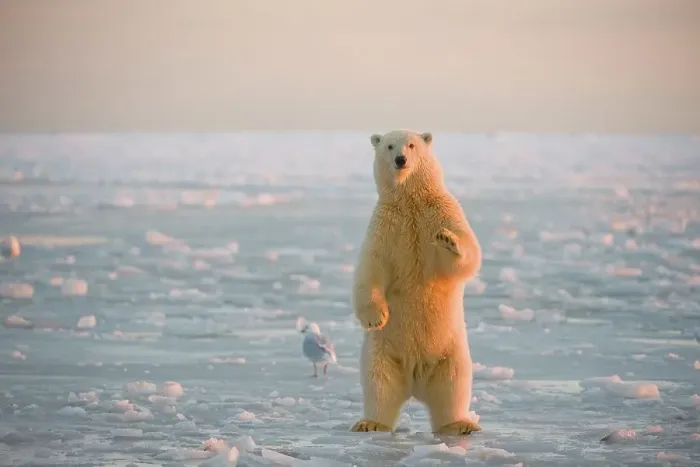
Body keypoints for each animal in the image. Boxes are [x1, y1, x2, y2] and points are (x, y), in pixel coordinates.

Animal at [349, 129, 482, 435]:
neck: (410, 202)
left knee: (453, 385)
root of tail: (415, 382)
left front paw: (448, 240)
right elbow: (371, 267)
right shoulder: (385, 225)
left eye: (411, 145)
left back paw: (460, 424)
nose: (401, 159)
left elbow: (466, 254)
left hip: (451, 352)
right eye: (389, 146)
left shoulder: (441, 210)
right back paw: (370, 423)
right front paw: (376, 317)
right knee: (378, 385)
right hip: (381, 351)